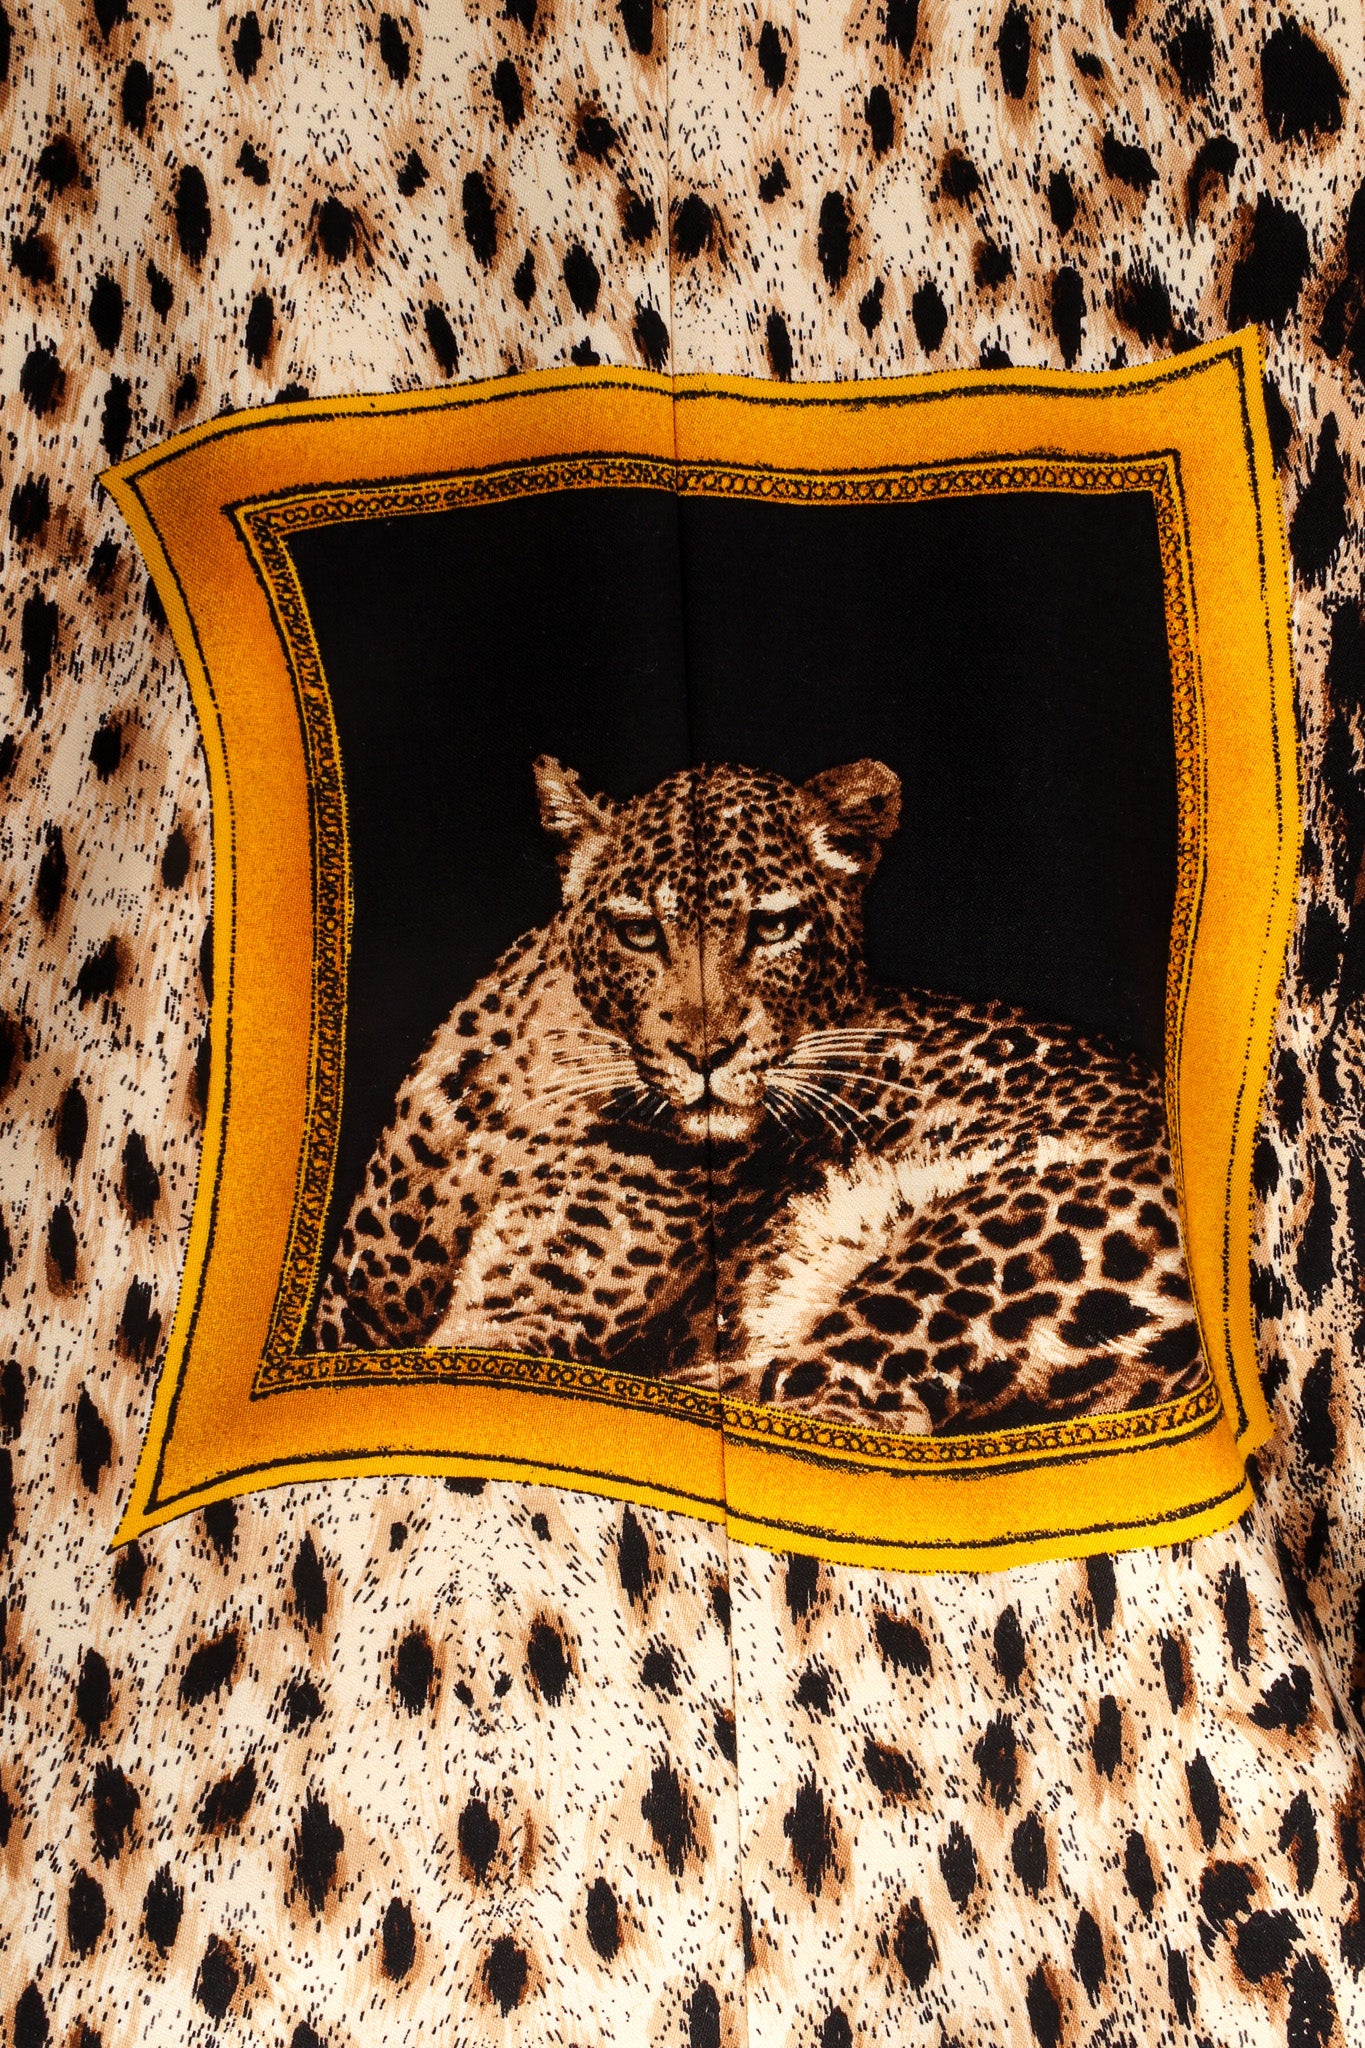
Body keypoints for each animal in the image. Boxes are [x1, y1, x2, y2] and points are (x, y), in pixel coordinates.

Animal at [315, 754, 1205, 1434]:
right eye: (640, 932)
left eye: (773, 928)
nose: (705, 1052)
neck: (531, 1096)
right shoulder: (348, 1317)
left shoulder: (518, 1320)